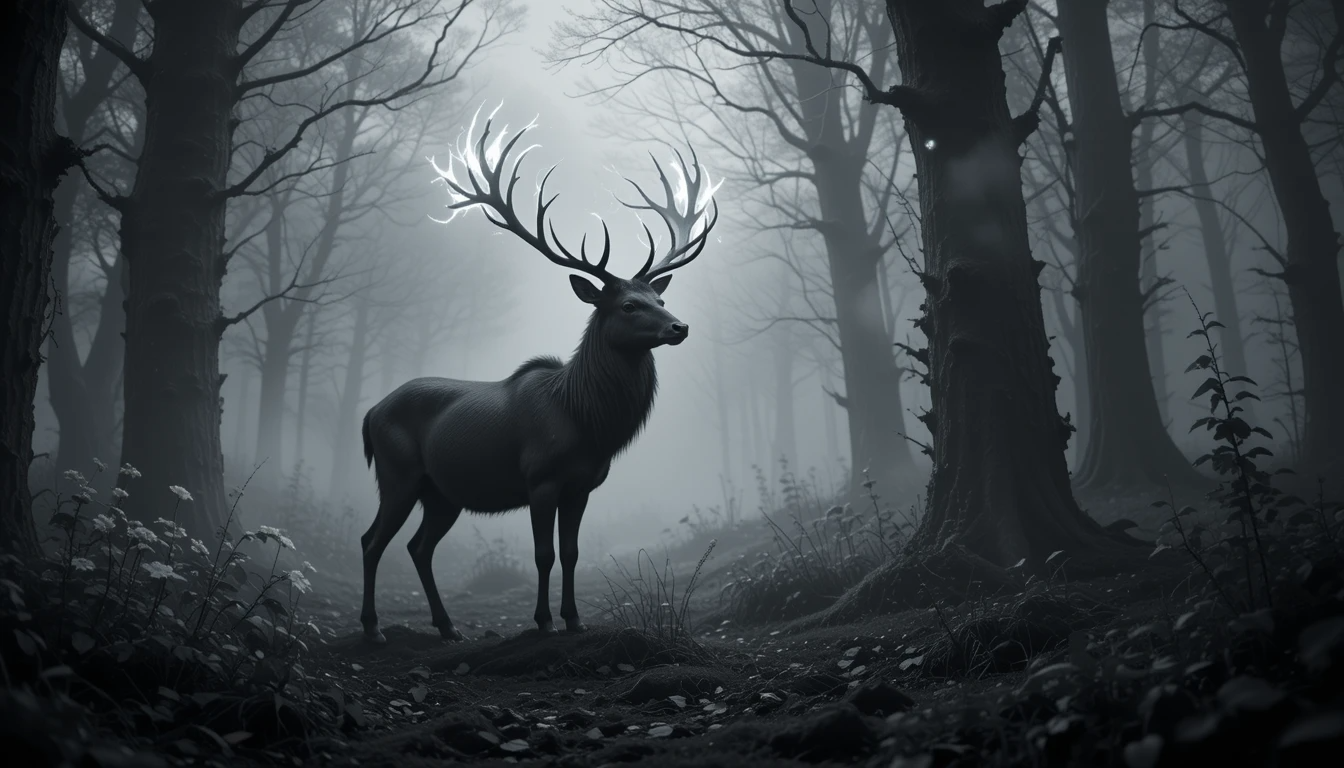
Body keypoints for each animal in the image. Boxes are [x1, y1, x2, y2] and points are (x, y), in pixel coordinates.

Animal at [357, 109, 720, 644]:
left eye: (661, 298)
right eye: (629, 305)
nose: (680, 327)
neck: (587, 422)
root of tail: (369, 414)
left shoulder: (583, 485)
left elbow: (571, 553)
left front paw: (574, 619)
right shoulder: (540, 478)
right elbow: (543, 554)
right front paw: (545, 621)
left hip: (442, 492)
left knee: (418, 547)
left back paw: (448, 628)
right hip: (397, 472)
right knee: (372, 540)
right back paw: (373, 628)